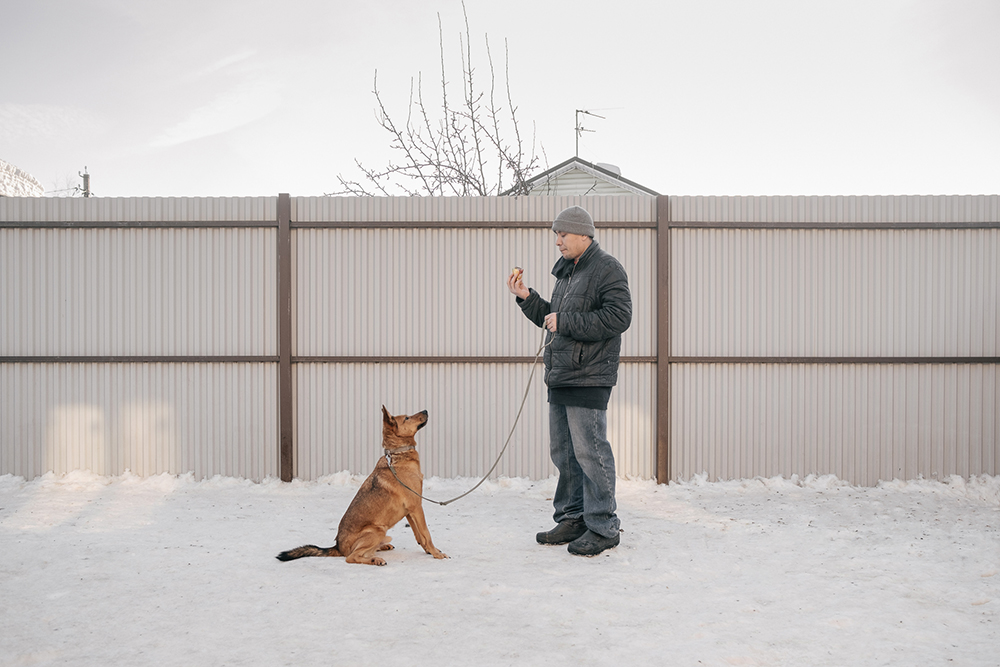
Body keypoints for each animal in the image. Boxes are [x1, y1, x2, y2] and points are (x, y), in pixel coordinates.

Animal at [274, 408, 446, 568]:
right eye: (407, 418)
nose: (426, 410)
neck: (398, 454)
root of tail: (338, 547)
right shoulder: (416, 506)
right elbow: (426, 533)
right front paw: (437, 553)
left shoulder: (410, 511)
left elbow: (419, 535)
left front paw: (429, 551)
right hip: (378, 530)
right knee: (352, 557)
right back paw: (375, 559)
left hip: (383, 533)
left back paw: (382, 547)